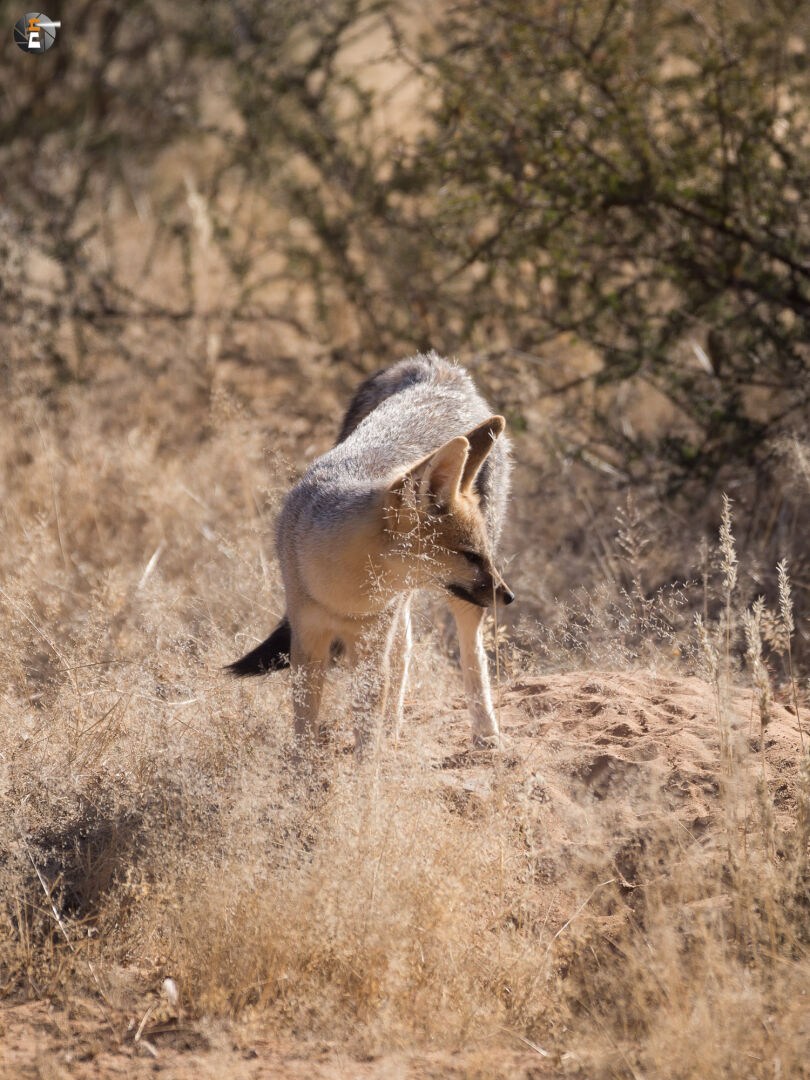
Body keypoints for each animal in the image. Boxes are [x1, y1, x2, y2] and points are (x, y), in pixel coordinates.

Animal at [227, 351, 514, 753]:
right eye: (469, 555)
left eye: (480, 554)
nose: (509, 597)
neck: (343, 593)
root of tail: (438, 369)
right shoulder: (308, 640)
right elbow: (304, 732)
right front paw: (304, 769)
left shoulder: (369, 642)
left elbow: (364, 735)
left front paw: (368, 768)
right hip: (403, 609)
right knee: (403, 651)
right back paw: (392, 733)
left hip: (460, 601)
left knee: (471, 653)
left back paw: (485, 732)